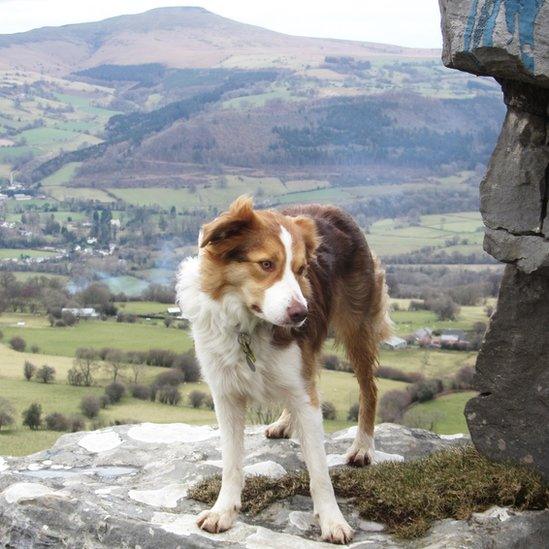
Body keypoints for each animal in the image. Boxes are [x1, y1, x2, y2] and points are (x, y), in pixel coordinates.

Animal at [176, 195, 390, 540]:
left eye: (301, 269)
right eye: (266, 264)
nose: (301, 313)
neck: (248, 326)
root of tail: (331, 207)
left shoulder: (305, 394)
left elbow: (319, 469)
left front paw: (333, 520)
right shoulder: (226, 395)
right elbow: (231, 462)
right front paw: (223, 511)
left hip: (356, 326)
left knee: (368, 388)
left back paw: (362, 447)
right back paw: (285, 423)